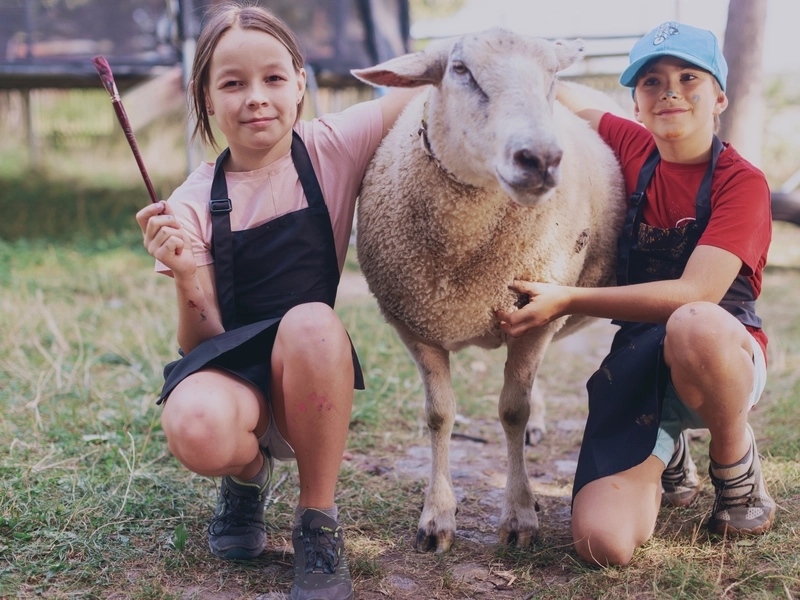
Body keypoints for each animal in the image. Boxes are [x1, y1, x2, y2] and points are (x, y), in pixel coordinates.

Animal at [352, 29, 626, 554]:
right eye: (460, 70)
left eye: (551, 77)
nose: (541, 159)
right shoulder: (415, 325)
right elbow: (439, 415)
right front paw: (437, 518)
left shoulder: (534, 318)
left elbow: (513, 411)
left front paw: (519, 516)